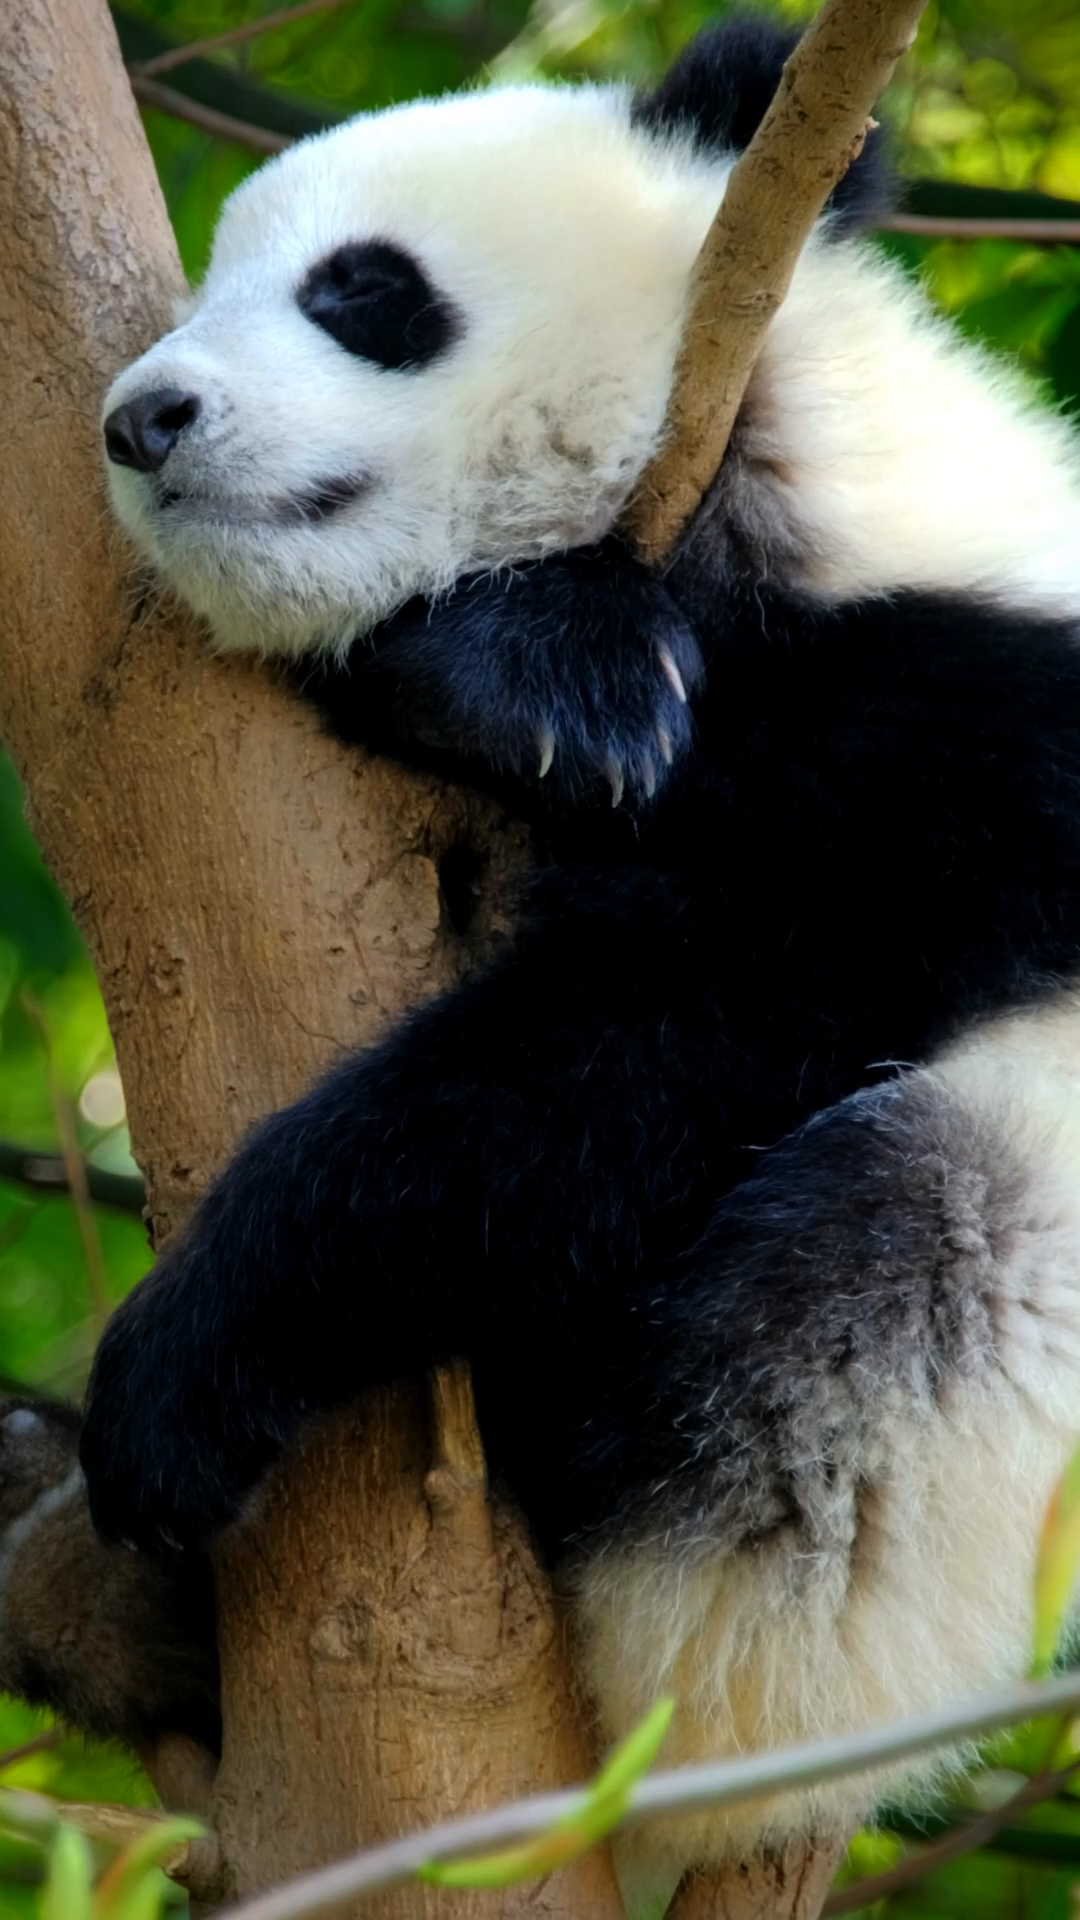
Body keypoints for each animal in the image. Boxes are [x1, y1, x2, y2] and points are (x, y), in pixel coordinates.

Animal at [83, 11, 1080, 1871]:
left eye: (365, 291)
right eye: (198, 293)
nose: (144, 414)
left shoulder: (991, 734)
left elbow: (673, 1017)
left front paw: (188, 1366)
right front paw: (506, 681)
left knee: (883, 1261)